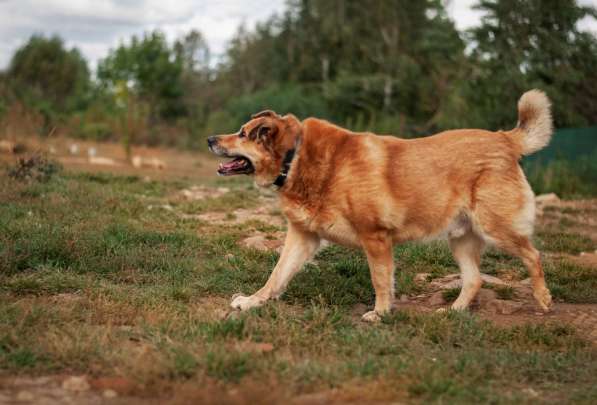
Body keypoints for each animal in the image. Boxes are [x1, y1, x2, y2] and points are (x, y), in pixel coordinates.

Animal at [207, 90, 552, 320]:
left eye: (242, 133)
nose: (210, 139)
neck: (296, 157)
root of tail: (504, 138)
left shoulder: (375, 237)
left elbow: (381, 280)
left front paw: (381, 314)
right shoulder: (303, 238)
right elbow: (276, 276)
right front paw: (252, 301)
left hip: (496, 228)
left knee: (533, 255)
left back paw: (544, 299)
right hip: (461, 239)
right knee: (474, 279)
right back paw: (451, 312)